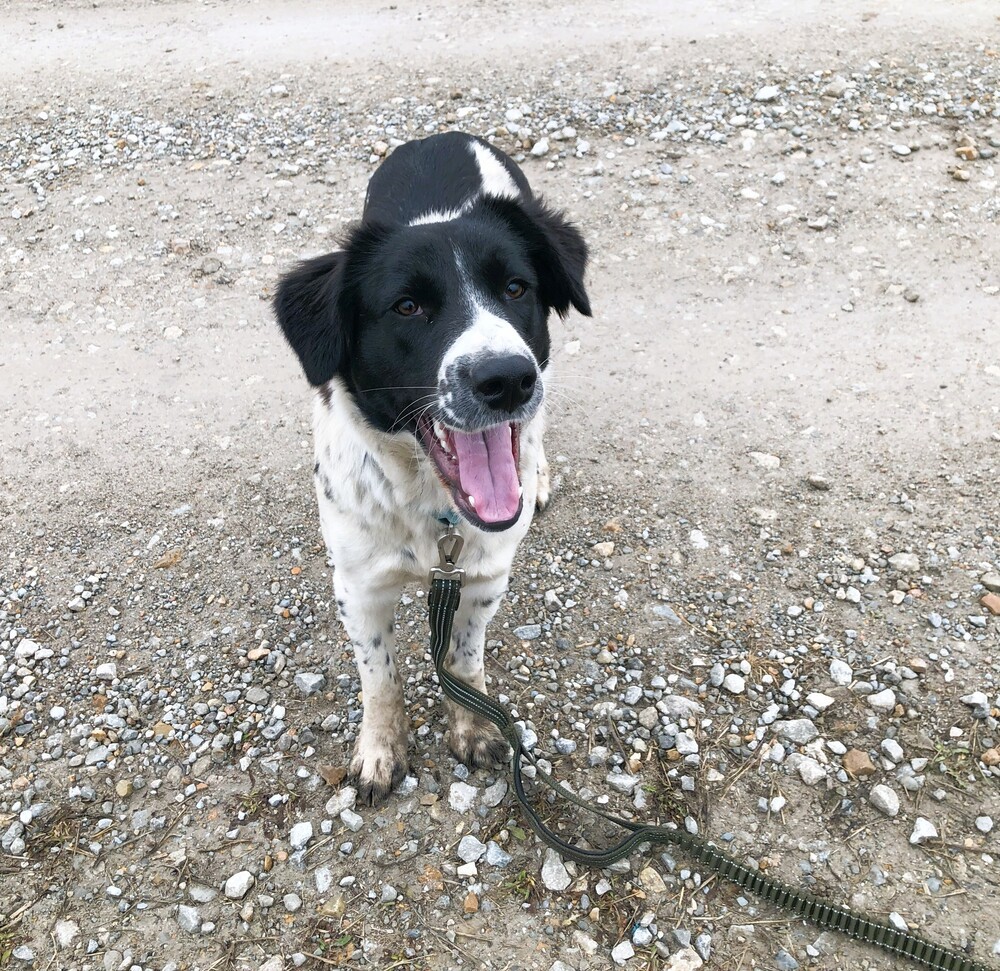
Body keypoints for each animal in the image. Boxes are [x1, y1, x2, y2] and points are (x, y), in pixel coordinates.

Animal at [274, 129, 588, 804]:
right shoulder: (359, 586)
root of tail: (445, 135)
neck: (430, 506)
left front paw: (472, 724)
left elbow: (463, 659)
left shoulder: (483, 576)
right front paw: (380, 749)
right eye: (407, 306)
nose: (507, 379)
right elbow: (380, 677)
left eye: (516, 289)